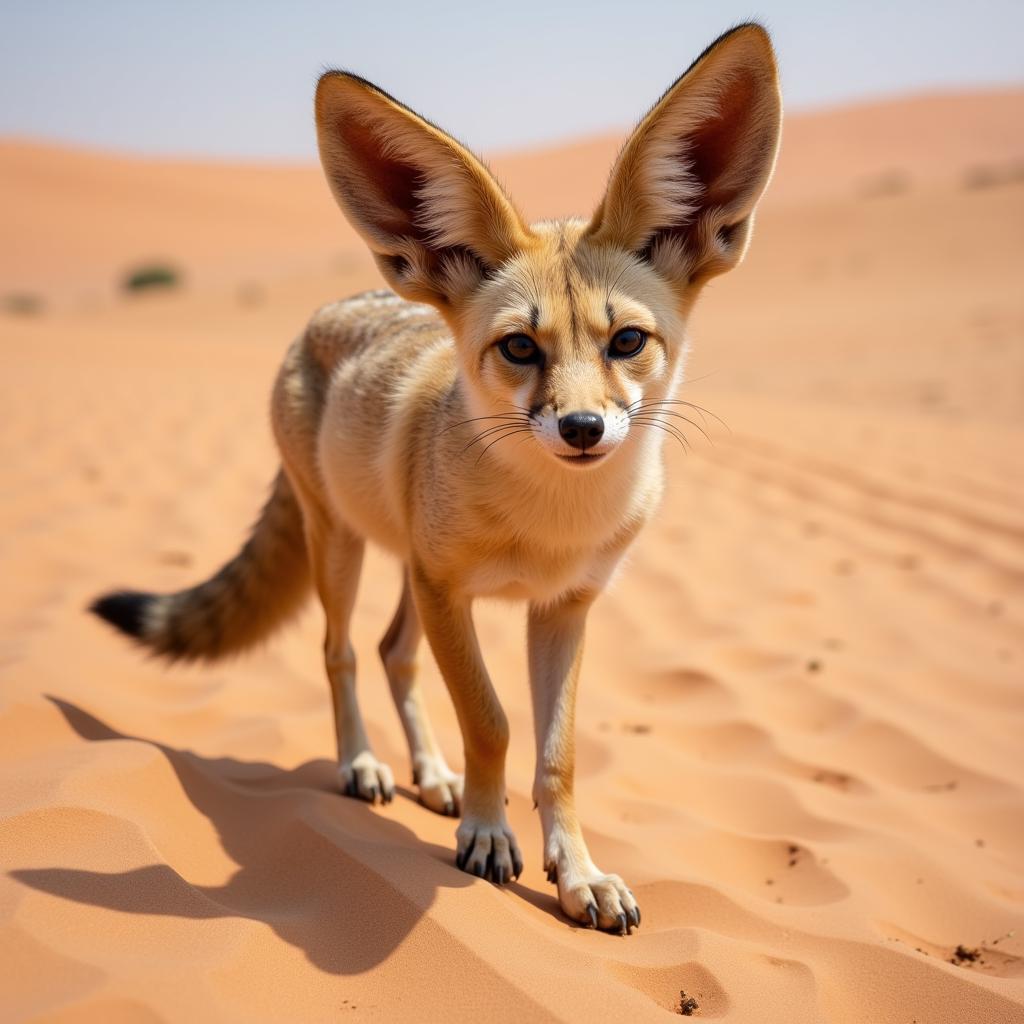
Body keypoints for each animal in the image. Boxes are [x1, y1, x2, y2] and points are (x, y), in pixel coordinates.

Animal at [94, 25, 782, 937]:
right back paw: (365, 766)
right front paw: (489, 837)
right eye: (520, 348)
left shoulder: (563, 606)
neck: (550, 525)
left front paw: (578, 872)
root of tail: (333, 308)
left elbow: (557, 755)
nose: (582, 430)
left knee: (393, 652)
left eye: (627, 342)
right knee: (342, 652)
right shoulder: (450, 589)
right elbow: (490, 723)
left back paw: (431, 776)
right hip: (345, 549)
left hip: (410, 576)